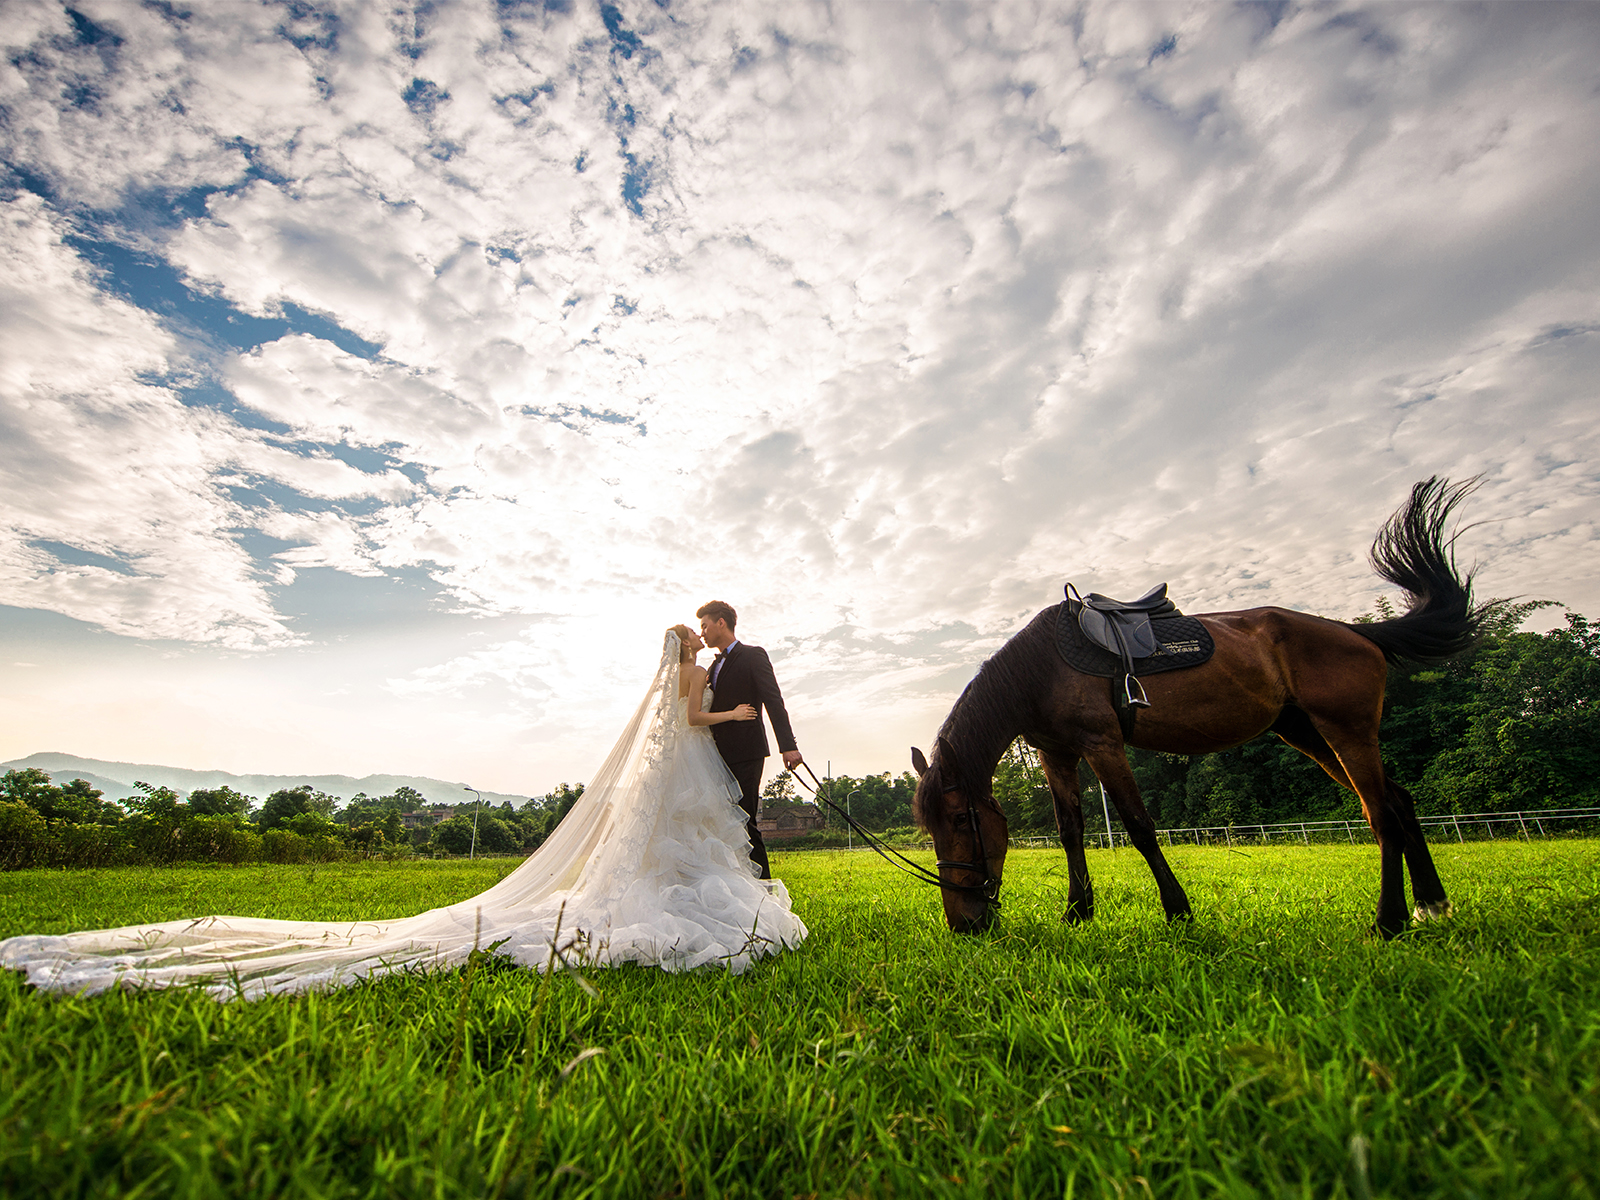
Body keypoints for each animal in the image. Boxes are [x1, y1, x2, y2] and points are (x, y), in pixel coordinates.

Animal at [921, 480, 1478, 940]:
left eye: (961, 819)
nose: (965, 923)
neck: (1040, 670)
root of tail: (1355, 632)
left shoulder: (1102, 744)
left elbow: (1140, 826)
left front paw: (1177, 910)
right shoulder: (1057, 754)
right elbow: (1070, 832)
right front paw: (1077, 913)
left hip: (1347, 730)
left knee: (1381, 812)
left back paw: (1388, 920)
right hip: (1308, 734)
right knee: (1398, 801)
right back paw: (1430, 904)